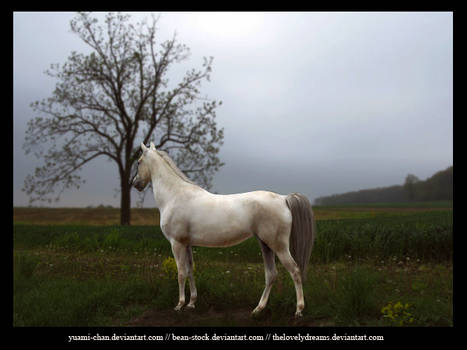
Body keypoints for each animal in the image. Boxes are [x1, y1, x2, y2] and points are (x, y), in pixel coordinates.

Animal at [135, 142, 318, 318]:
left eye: (139, 161)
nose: (136, 183)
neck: (174, 195)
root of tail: (283, 199)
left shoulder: (177, 243)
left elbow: (181, 273)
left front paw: (179, 305)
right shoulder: (187, 244)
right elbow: (190, 270)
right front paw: (191, 303)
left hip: (278, 246)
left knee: (294, 270)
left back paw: (298, 310)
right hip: (265, 245)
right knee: (271, 275)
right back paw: (258, 309)